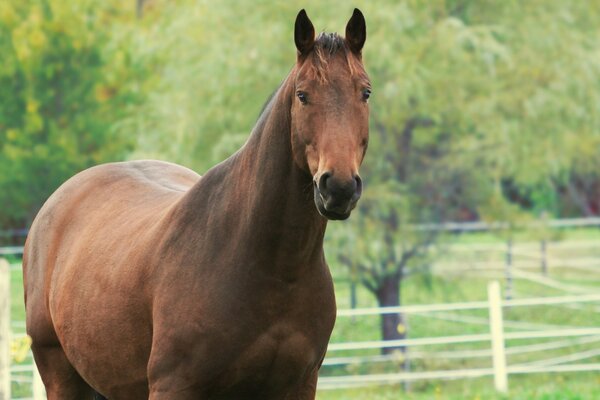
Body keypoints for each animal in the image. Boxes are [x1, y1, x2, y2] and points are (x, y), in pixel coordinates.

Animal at [22, 7, 370, 398]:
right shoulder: (173, 384)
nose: (338, 186)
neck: (272, 267)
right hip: (60, 374)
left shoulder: (299, 384)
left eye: (365, 93)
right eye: (302, 95)